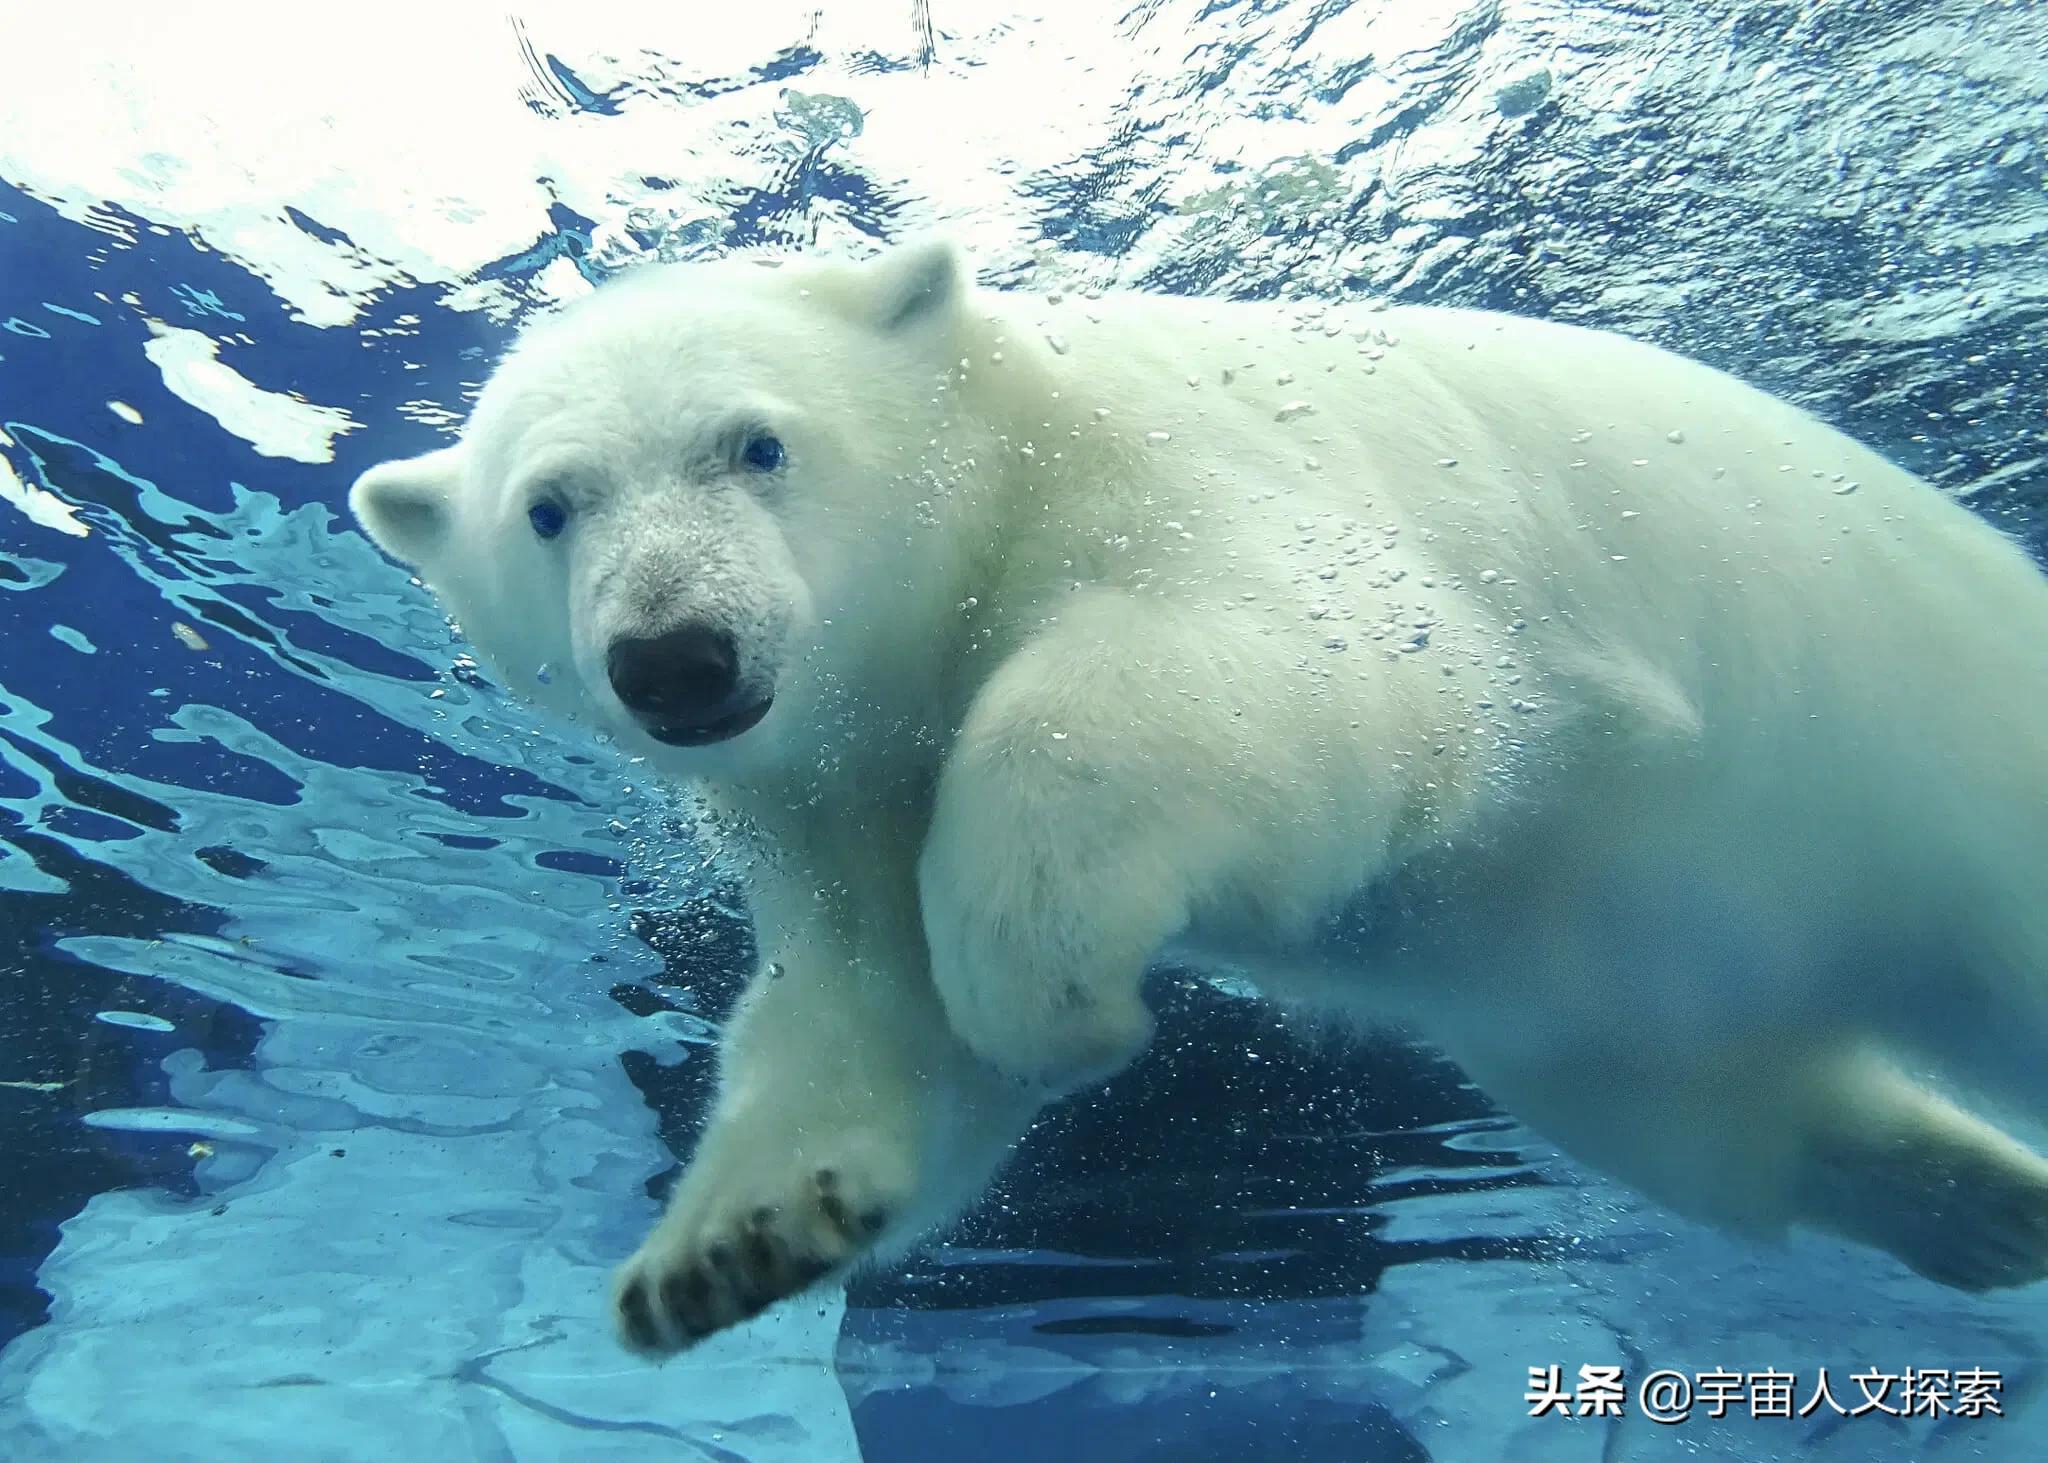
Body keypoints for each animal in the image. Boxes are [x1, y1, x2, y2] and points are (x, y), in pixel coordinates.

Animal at [352, 236, 2048, 1344]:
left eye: (757, 443)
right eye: (551, 506)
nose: (676, 656)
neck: (1006, 457)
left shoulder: (1197, 481)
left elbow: (1305, 673)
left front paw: (1044, 982)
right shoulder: (837, 787)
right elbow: (861, 998)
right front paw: (732, 1238)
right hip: (1627, 970)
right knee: (1677, 1092)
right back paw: (1976, 1200)